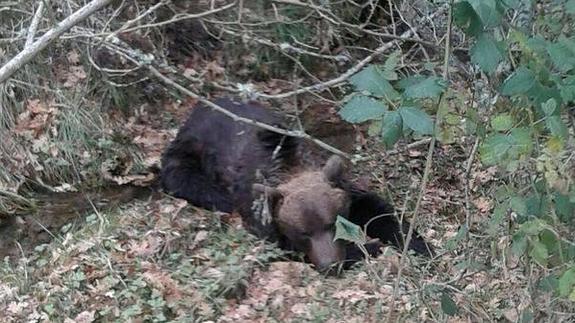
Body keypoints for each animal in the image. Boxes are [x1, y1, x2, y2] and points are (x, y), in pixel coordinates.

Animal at [161, 97, 432, 272]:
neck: (290, 165)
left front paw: (418, 244)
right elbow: (283, 246)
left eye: (333, 222)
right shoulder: (261, 211)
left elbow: (377, 210)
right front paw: (369, 247)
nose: (330, 265)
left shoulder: (341, 186)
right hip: (190, 152)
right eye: (303, 233)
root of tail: (200, 107)